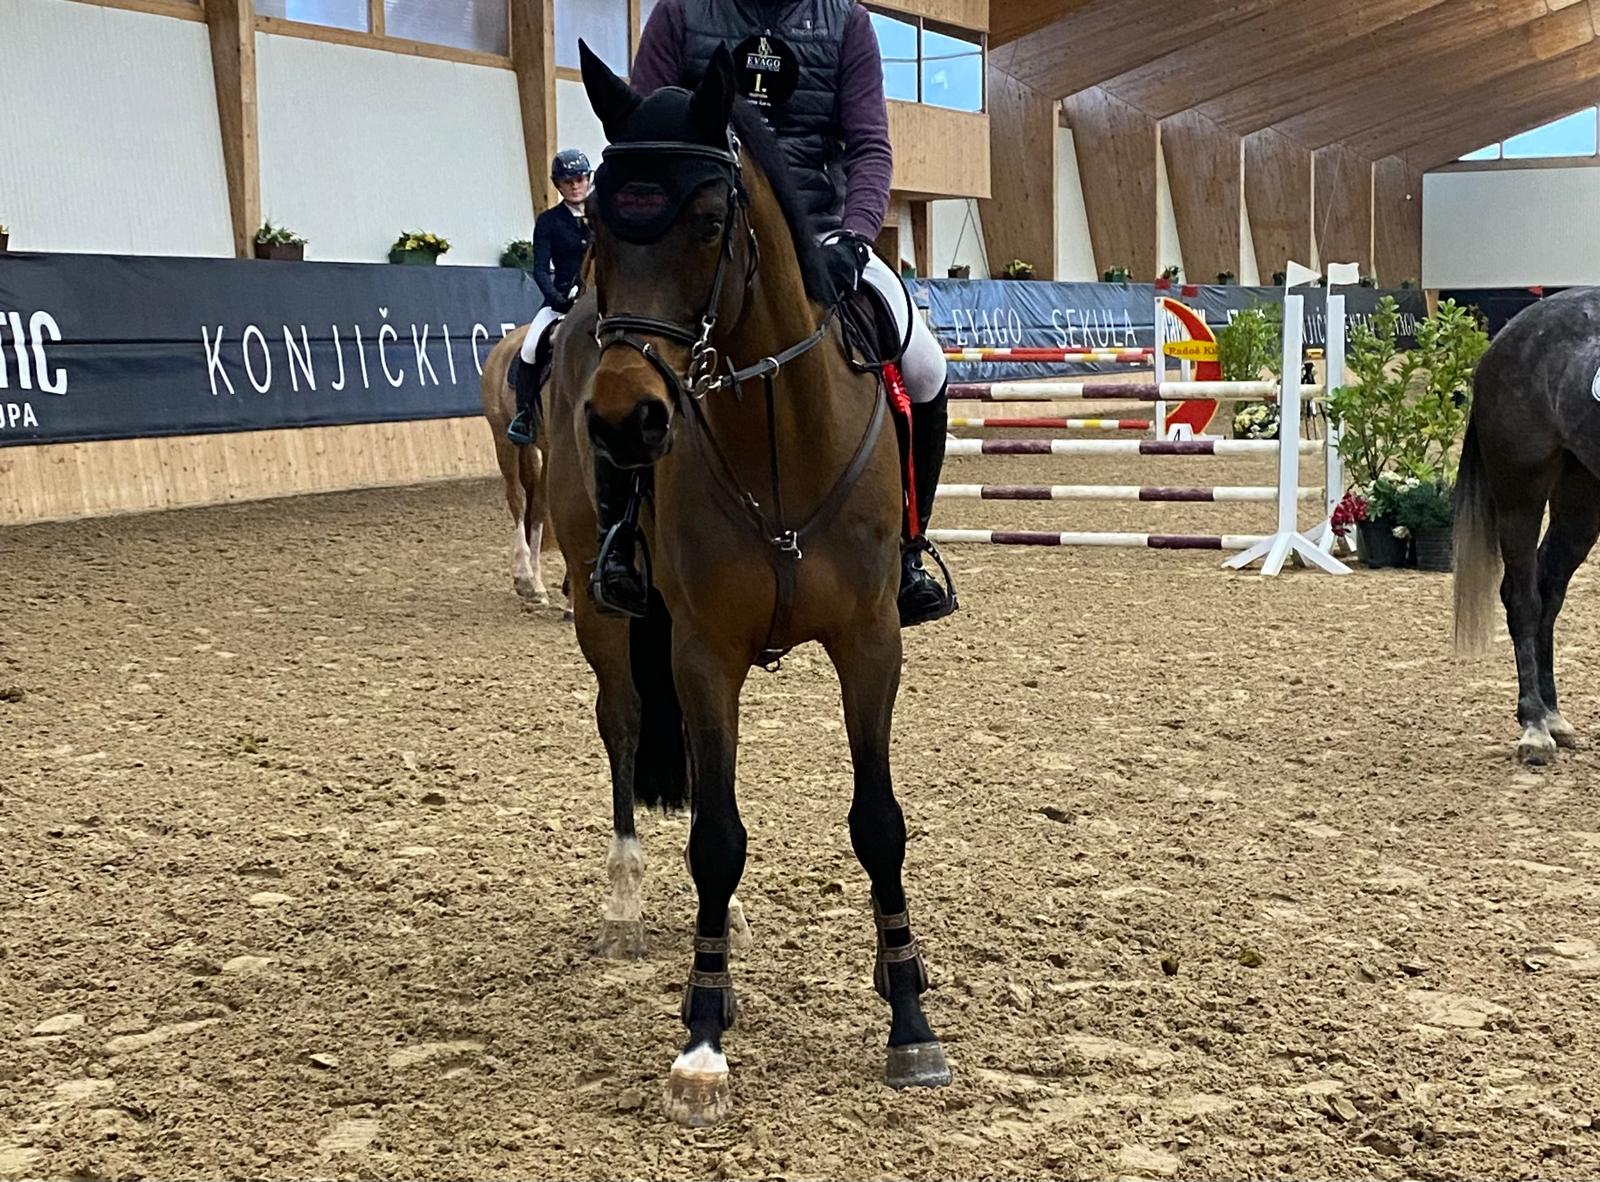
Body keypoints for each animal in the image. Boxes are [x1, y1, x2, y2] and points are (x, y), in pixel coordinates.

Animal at [540, 42, 952, 1126]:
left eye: (708, 223)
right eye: (597, 227)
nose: (627, 421)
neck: (777, 431)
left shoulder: (869, 642)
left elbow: (878, 825)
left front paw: (909, 1014)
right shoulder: (702, 651)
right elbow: (716, 839)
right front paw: (702, 1035)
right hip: (600, 611)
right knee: (622, 726)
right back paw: (629, 901)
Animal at [1454, 288, 1600, 765]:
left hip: (1580, 498)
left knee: (1548, 592)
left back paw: (1553, 716)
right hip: (1520, 493)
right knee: (1523, 599)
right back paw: (1535, 726)